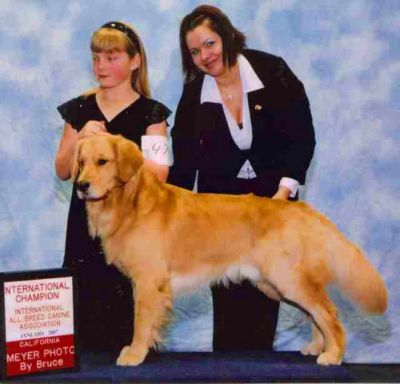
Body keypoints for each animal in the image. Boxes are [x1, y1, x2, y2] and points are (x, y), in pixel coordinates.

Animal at [71, 134, 388, 368]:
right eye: (81, 162)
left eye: (102, 161)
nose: (81, 186)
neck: (129, 203)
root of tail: (301, 209)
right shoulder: (144, 284)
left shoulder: (149, 282)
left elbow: (140, 322)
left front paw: (135, 354)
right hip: (277, 284)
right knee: (314, 315)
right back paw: (316, 347)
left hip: (287, 279)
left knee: (328, 313)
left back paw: (333, 355)